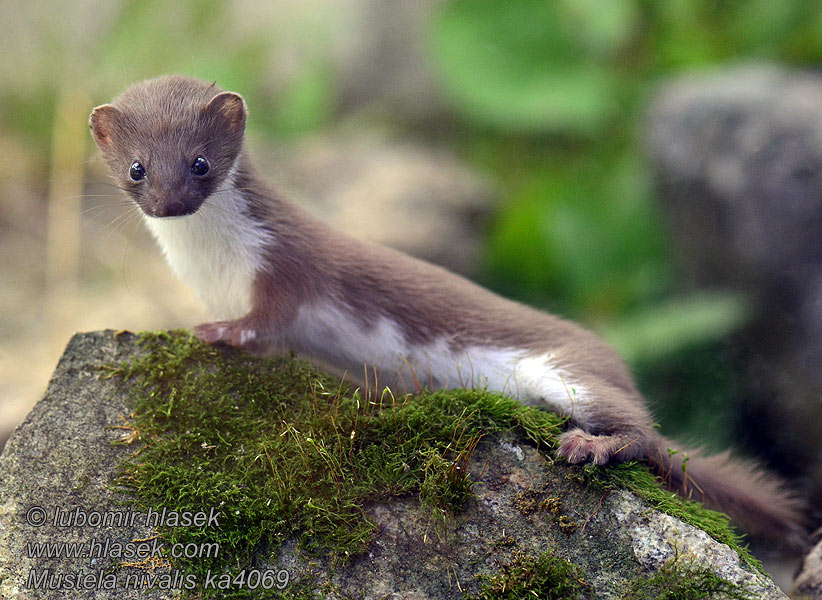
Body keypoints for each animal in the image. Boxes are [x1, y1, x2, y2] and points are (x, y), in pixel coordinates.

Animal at [88, 75, 804, 544]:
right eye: (136, 168)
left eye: (200, 163)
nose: (169, 203)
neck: (210, 266)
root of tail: (613, 359)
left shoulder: (284, 266)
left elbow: (266, 324)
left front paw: (216, 331)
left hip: (567, 368)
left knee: (645, 430)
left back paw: (589, 445)